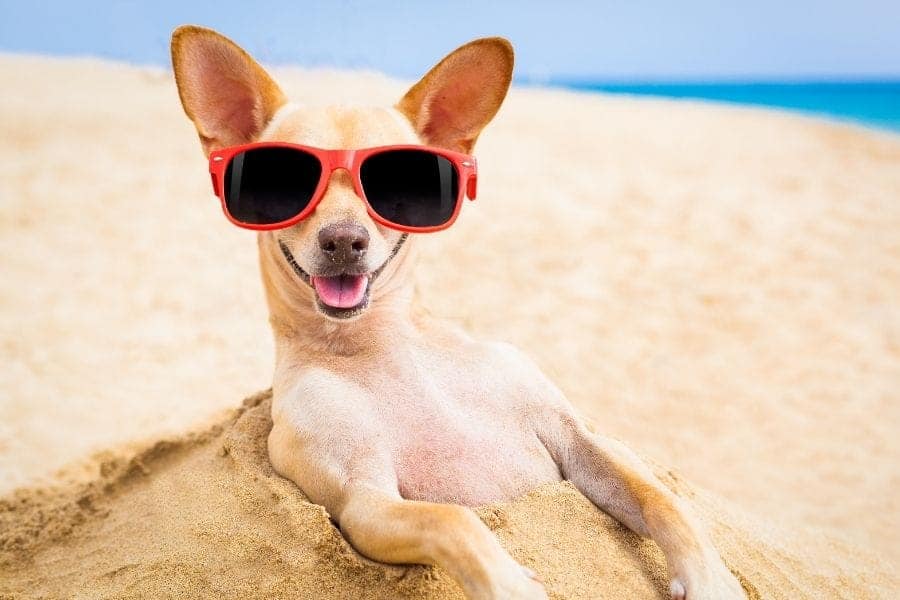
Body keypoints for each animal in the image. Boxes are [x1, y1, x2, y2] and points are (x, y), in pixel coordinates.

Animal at [171, 24, 744, 600]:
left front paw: (710, 577)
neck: (386, 344)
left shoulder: (580, 441)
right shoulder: (363, 500)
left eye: (399, 184)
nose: (344, 241)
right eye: (281, 184)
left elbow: (664, 502)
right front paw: (510, 585)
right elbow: (451, 520)